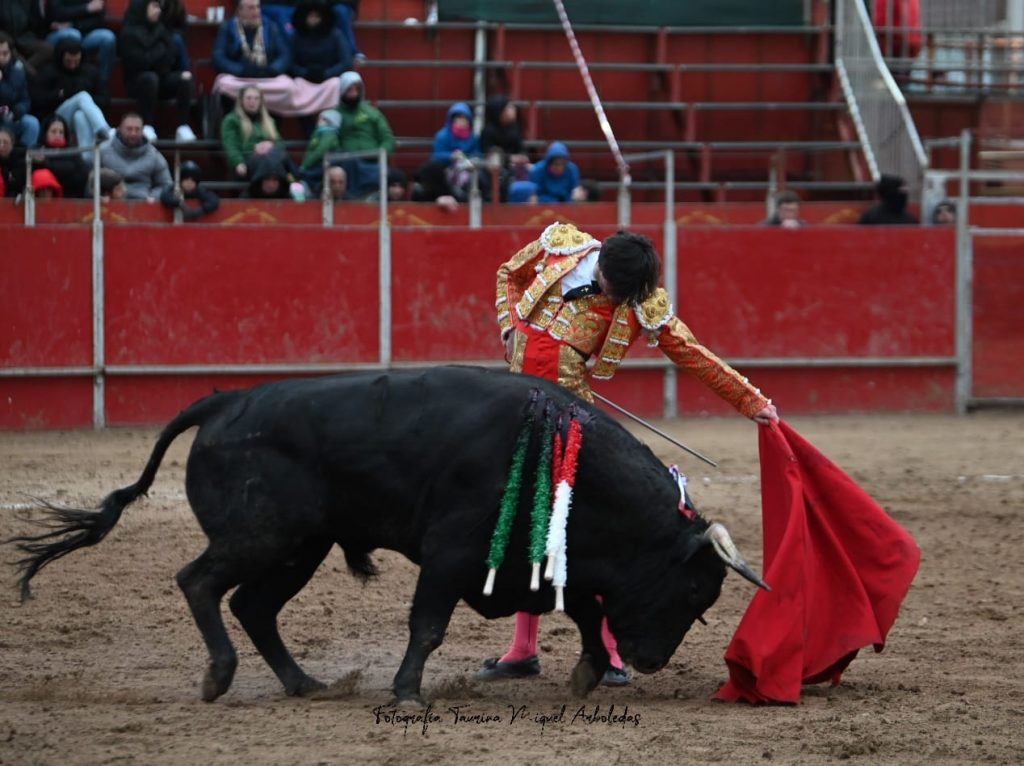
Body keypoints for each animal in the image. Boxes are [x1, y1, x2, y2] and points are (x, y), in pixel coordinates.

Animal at [8, 368, 761, 704]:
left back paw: (305, 683)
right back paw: (219, 676)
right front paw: (405, 691)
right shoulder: (452, 555)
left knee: (252, 605)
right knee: (199, 581)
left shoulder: (550, 560)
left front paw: (585, 674)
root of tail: (226, 401)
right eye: (691, 593)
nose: (653, 661)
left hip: (299, 548)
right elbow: (427, 625)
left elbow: (579, 610)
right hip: (263, 535)